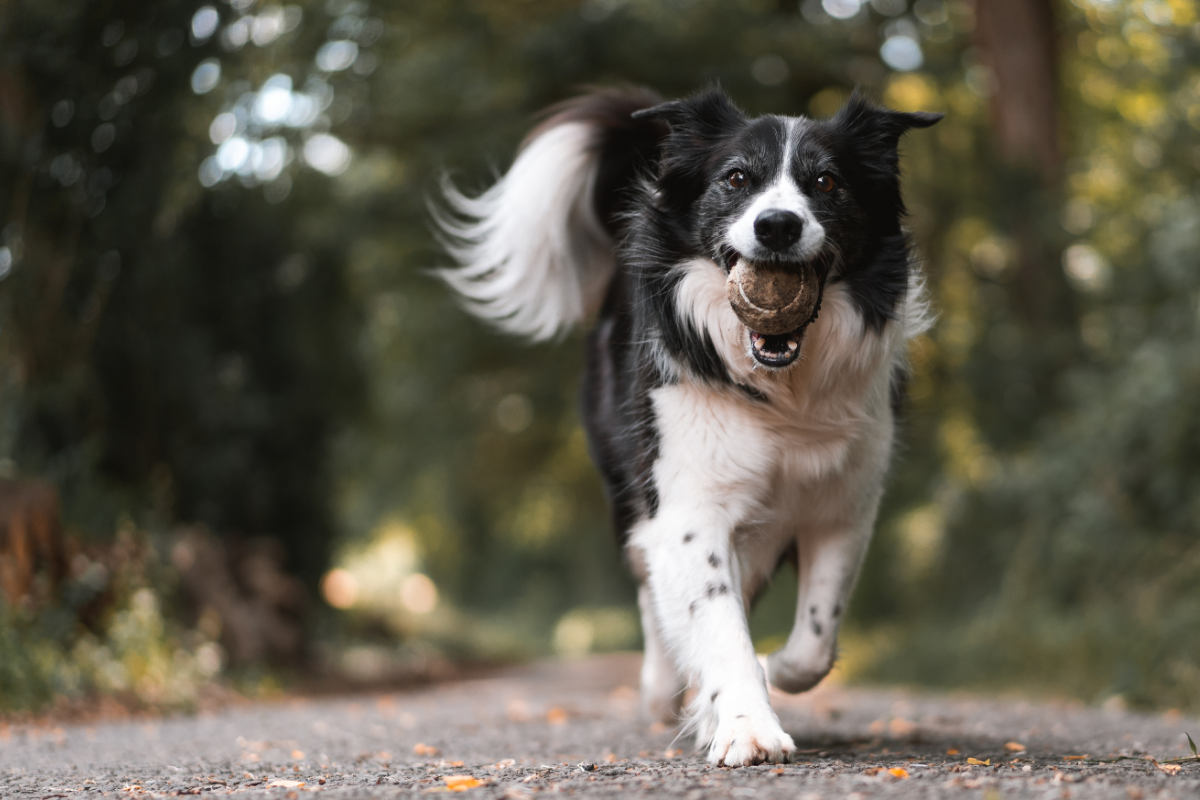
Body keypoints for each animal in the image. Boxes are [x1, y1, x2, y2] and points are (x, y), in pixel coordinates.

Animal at [432, 84, 936, 767]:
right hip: (631, 490)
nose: (777, 224)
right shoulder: (688, 505)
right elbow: (717, 623)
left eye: (827, 182)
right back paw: (663, 690)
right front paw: (747, 726)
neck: (782, 389)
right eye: (737, 178)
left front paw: (768, 677)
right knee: (653, 590)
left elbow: (813, 640)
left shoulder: (844, 504)